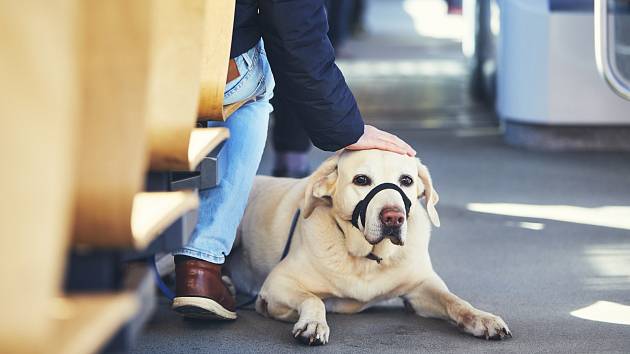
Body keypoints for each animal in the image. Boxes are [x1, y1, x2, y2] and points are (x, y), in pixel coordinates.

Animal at [227, 150, 512, 346]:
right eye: (361, 180)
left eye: (406, 180)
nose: (393, 217)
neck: (367, 258)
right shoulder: (276, 285)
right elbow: (313, 298)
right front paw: (313, 323)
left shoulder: (421, 288)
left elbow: (455, 301)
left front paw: (482, 318)